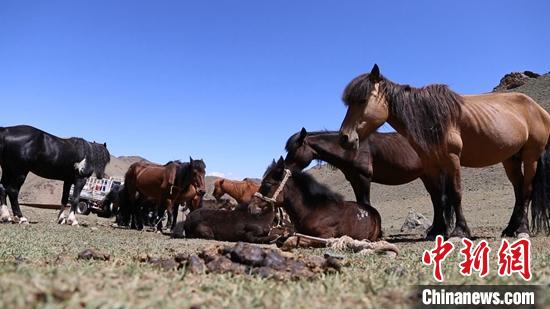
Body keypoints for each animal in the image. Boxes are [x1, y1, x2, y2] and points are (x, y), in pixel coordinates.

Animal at [340, 64, 550, 238]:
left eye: (363, 100)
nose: (345, 138)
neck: (429, 117)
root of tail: (539, 109)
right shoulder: (430, 164)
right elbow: (437, 197)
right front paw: (437, 230)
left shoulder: (452, 159)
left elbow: (456, 193)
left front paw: (459, 231)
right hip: (511, 159)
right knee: (518, 190)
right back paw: (509, 229)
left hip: (531, 156)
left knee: (527, 190)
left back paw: (522, 230)